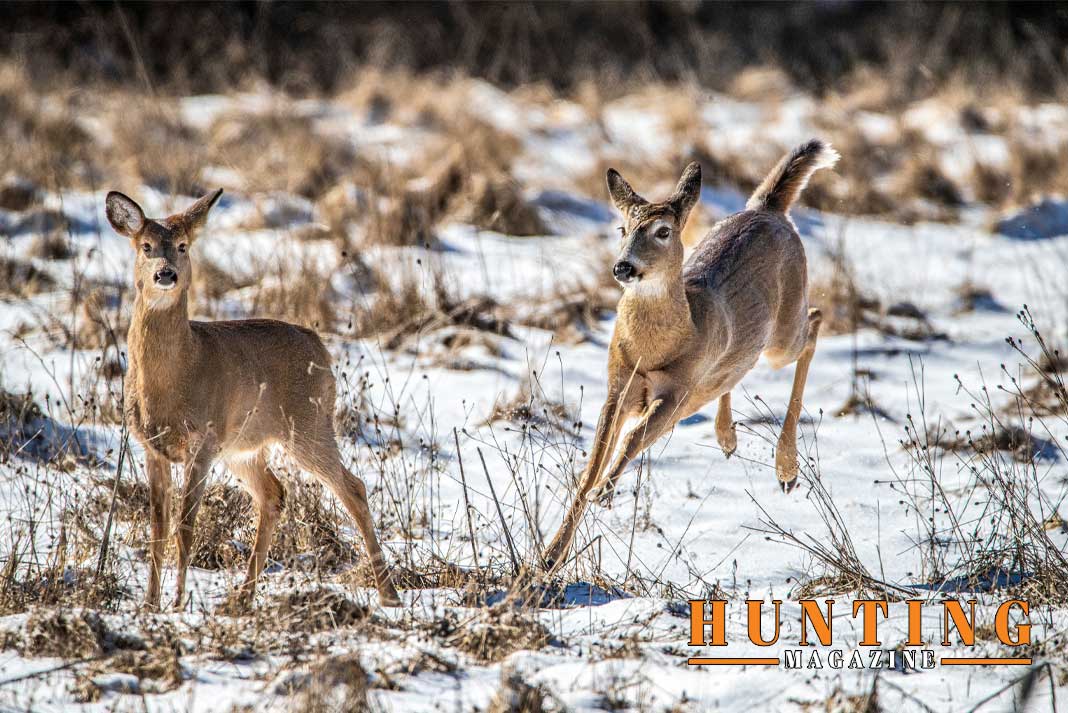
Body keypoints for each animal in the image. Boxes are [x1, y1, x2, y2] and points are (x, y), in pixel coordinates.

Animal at [107, 187, 401, 606]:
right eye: (145, 246)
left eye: (182, 245)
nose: (166, 274)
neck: (178, 375)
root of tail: (320, 346)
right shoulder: (152, 446)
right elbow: (157, 531)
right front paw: (149, 605)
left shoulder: (203, 440)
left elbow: (185, 528)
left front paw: (177, 604)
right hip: (243, 446)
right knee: (274, 494)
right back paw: (242, 597)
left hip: (308, 423)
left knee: (353, 487)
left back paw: (389, 594)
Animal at [542, 140, 833, 567]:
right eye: (622, 228)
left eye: (663, 231)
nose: (623, 267)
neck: (653, 350)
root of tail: (768, 208)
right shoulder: (619, 385)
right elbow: (593, 462)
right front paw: (549, 555)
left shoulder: (676, 392)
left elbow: (632, 440)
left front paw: (605, 494)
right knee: (738, 368)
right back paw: (727, 438)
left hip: (782, 335)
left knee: (813, 322)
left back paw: (786, 469)